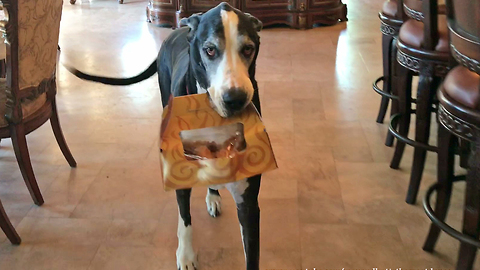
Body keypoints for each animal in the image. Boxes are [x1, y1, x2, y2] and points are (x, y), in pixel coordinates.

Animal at [67, 2, 262, 270]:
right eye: (210, 50)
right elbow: (185, 217)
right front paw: (186, 255)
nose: (235, 99)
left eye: (248, 49)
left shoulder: (249, 201)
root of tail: (178, 29)